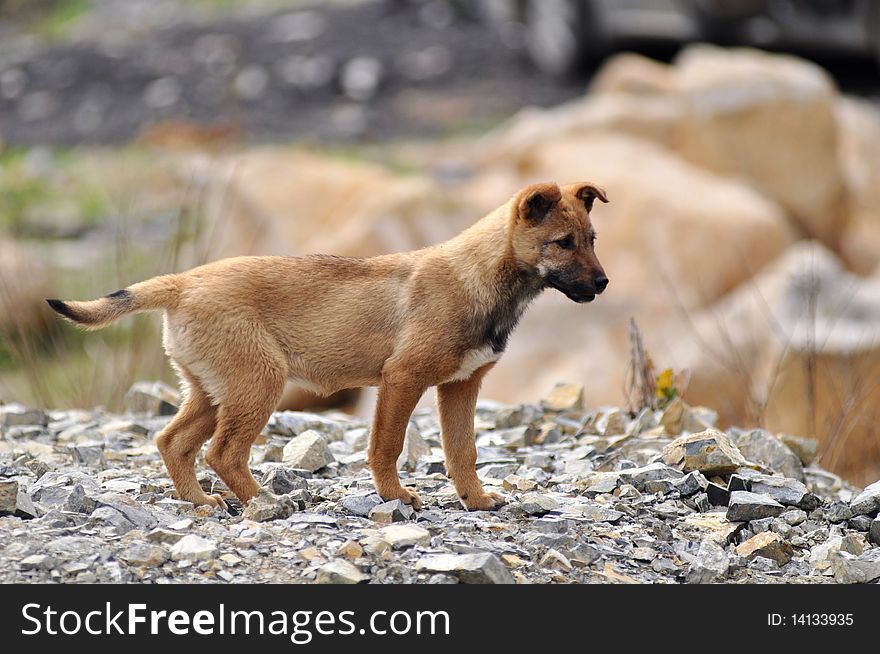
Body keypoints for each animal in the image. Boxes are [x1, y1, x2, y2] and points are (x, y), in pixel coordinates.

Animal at [48, 182, 608, 516]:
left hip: (212, 391)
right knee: (222, 452)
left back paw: (202, 502)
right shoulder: (402, 378)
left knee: (173, 442)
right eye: (563, 242)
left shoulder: (461, 387)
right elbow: (386, 447)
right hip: (259, 385)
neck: (483, 279)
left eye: (592, 238)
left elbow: (462, 452)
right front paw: (395, 497)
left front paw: (476, 499)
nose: (603, 284)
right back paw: (264, 502)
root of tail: (182, 282)